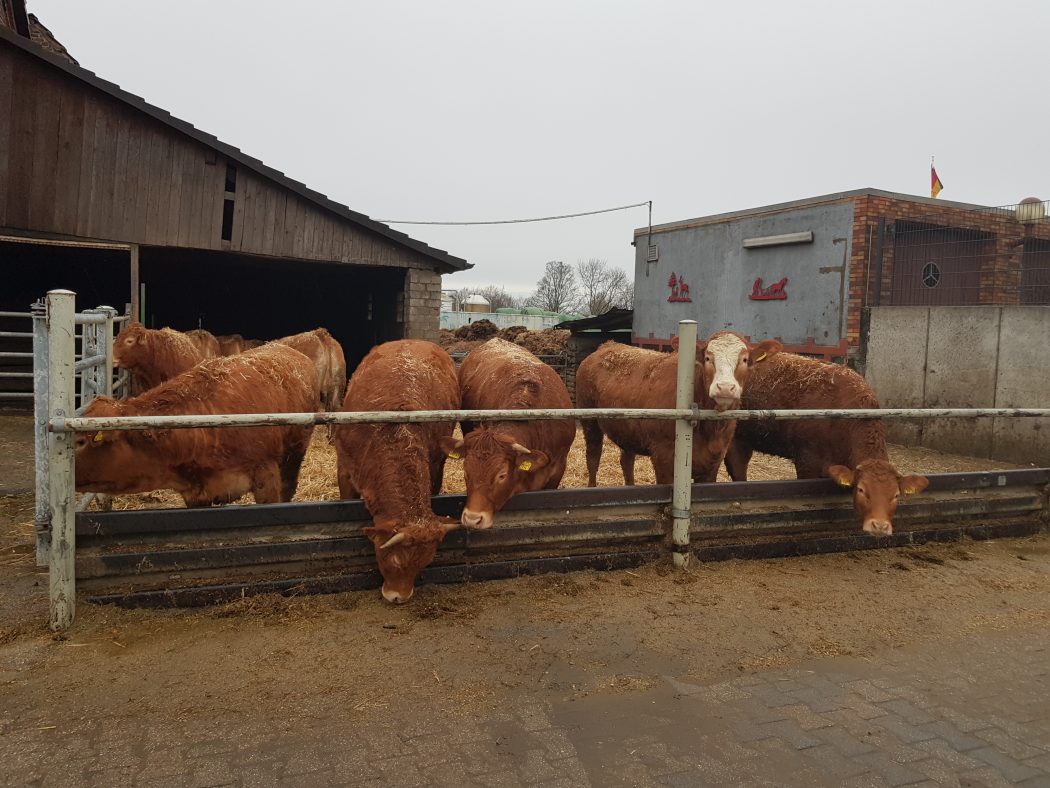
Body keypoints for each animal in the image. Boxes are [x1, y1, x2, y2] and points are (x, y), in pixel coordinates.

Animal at [575, 329, 781, 485]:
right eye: (708, 358)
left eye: (745, 360)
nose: (725, 388)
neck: (711, 429)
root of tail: (608, 345)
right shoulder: (663, 458)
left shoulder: (714, 461)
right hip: (589, 420)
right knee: (593, 457)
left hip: (627, 429)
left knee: (626, 461)